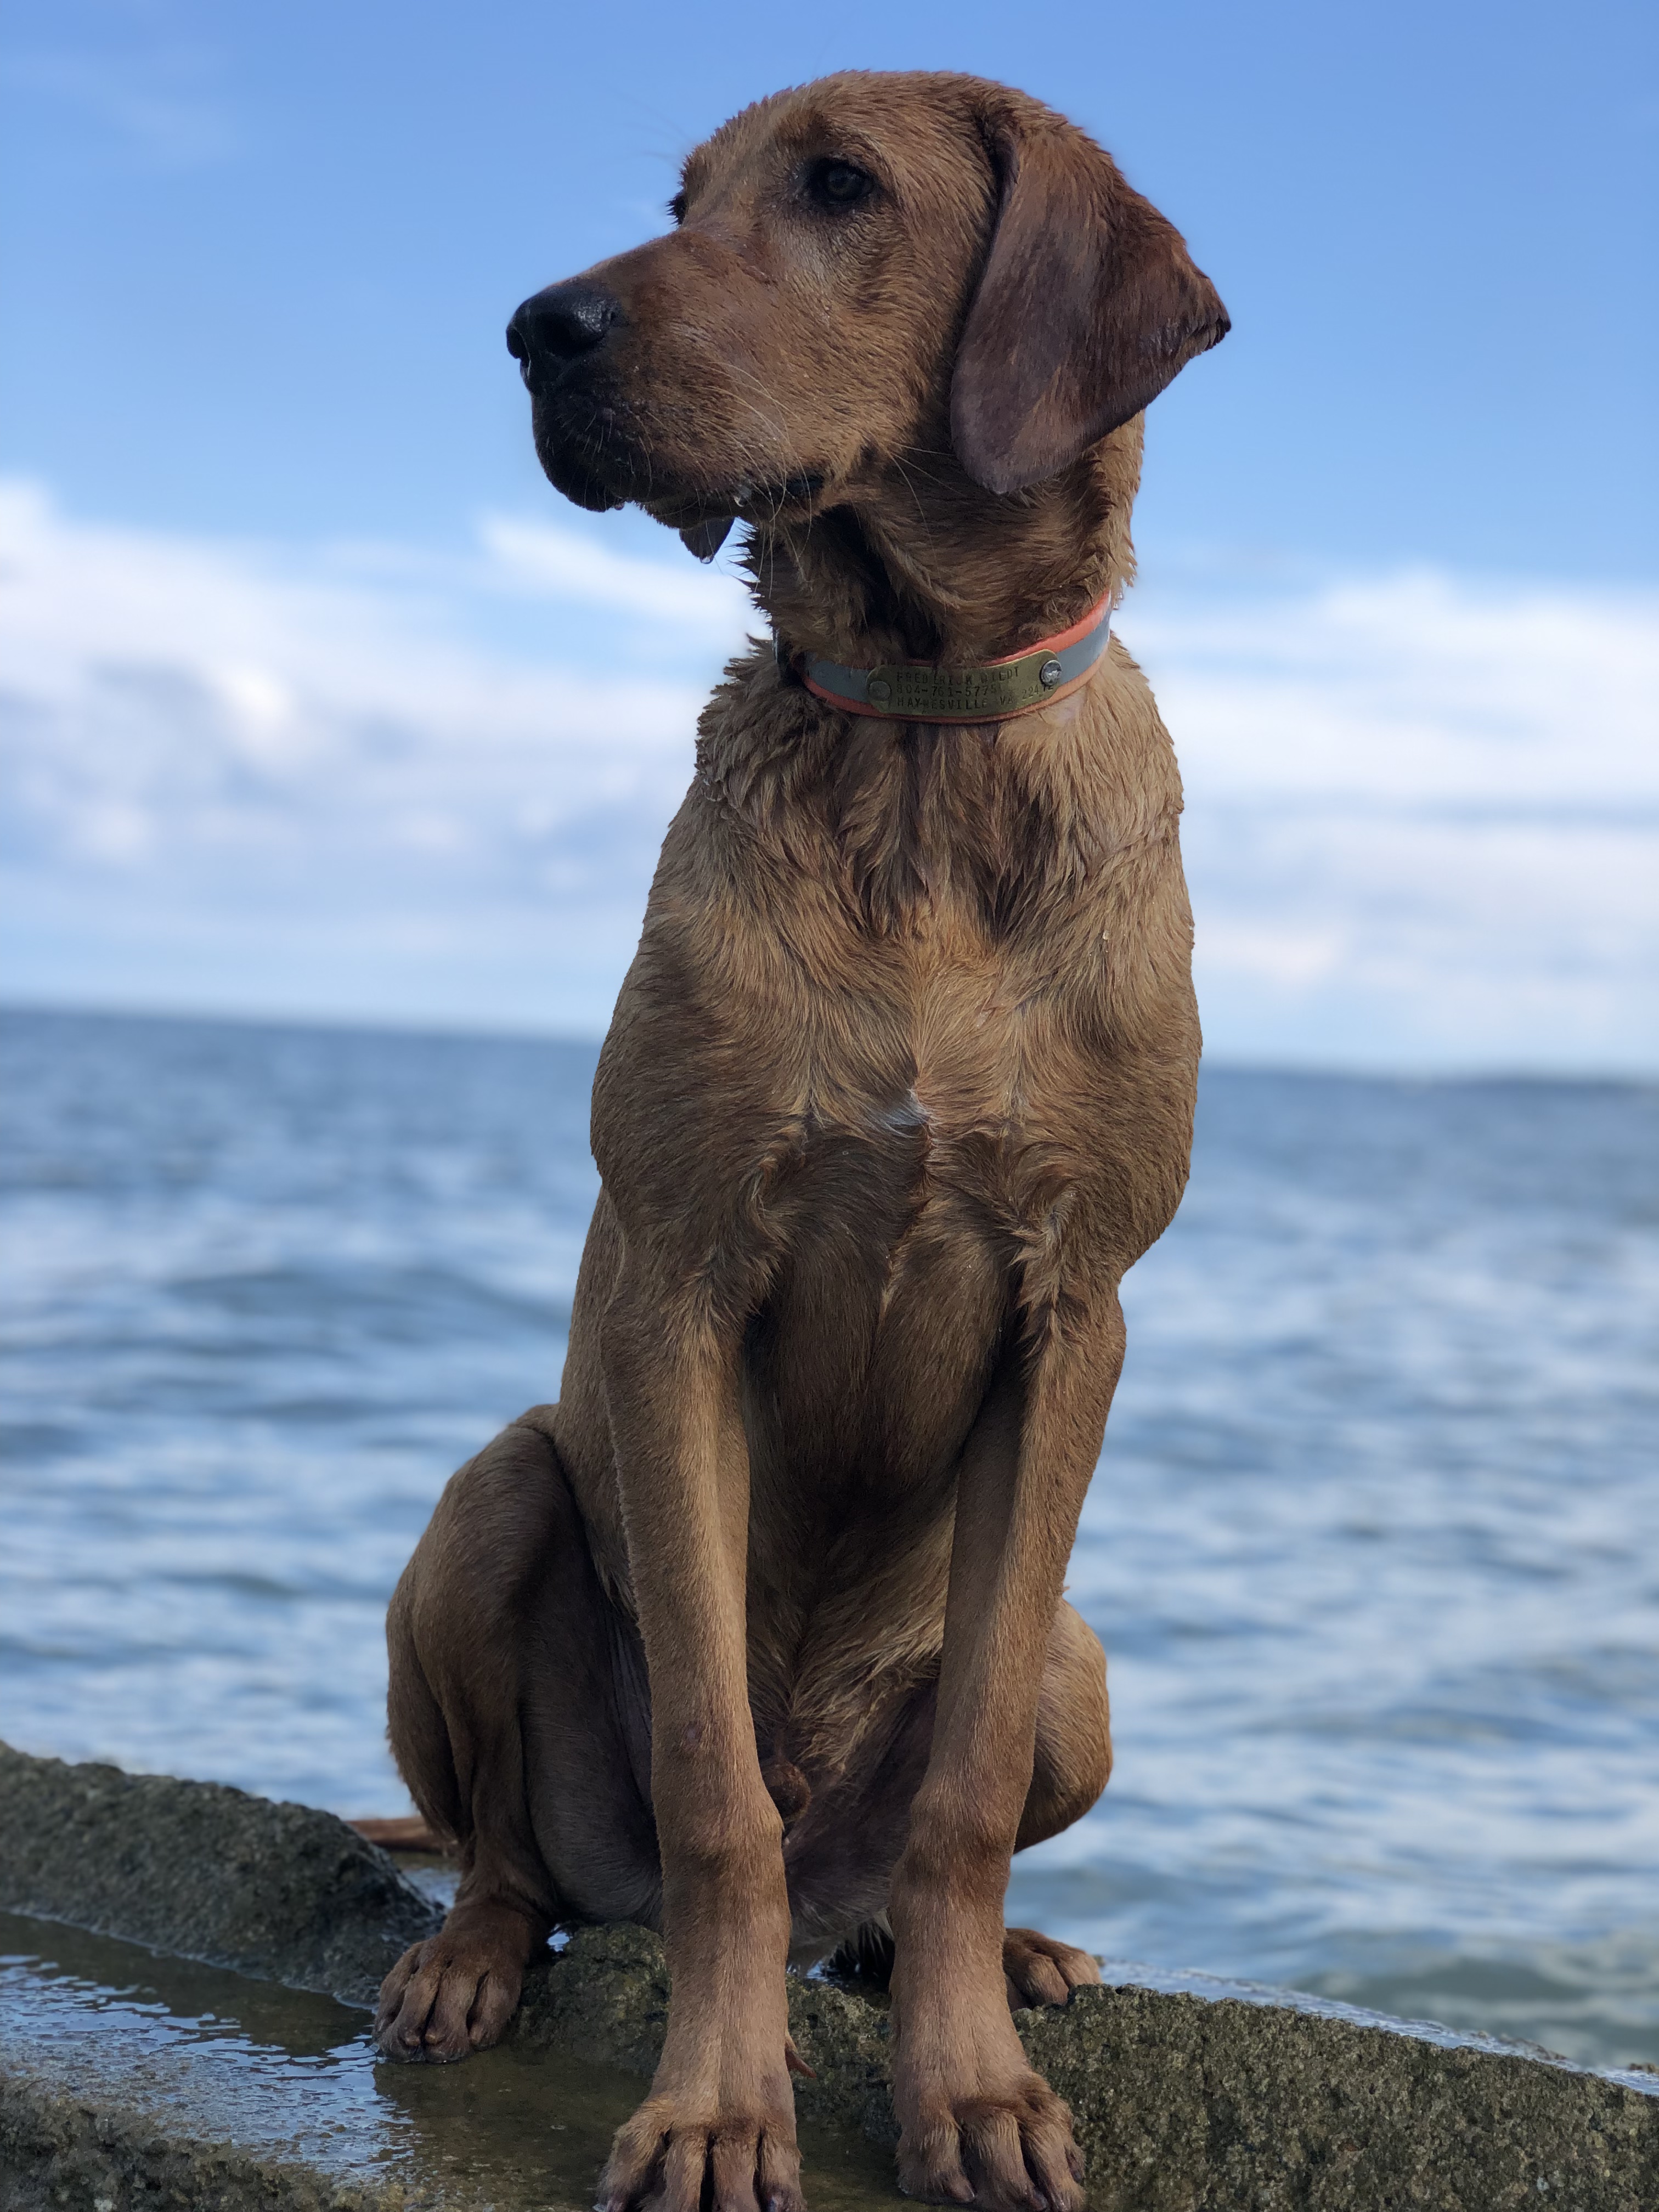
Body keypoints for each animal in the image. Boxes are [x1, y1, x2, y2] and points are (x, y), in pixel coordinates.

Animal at [374, 69, 1238, 2212]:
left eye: (842, 186)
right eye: (681, 198)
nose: (539, 330)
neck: (918, 740)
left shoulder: (1073, 1313)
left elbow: (965, 1794)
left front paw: (973, 2086)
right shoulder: (681, 1289)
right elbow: (712, 1799)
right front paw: (714, 2105)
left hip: (1087, 1660)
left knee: (914, 1842)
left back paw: (996, 1953)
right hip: (490, 1502)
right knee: (527, 1853)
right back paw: (472, 1958)